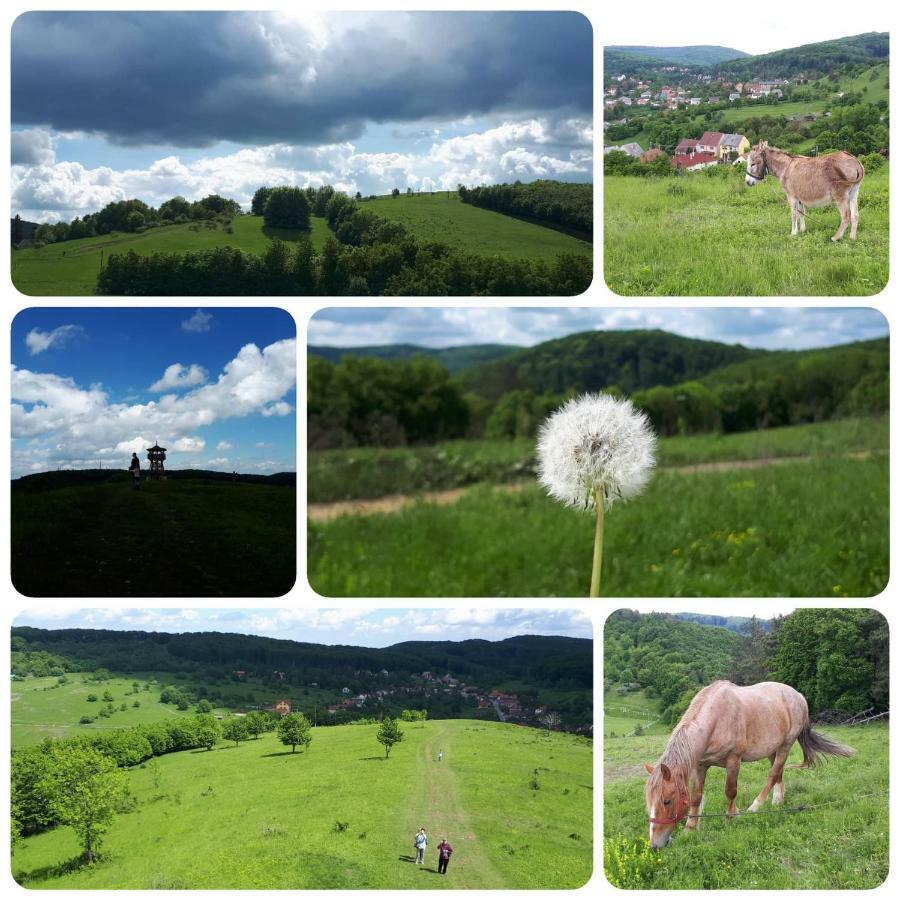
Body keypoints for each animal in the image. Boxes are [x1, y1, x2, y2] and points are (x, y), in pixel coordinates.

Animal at [644, 684, 856, 852]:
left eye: (666, 801)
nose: (655, 845)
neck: (716, 719)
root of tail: (799, 696)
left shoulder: (734, 760)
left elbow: (730, 791)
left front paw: (731, 817)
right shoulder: (700, 765)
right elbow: (696, 796)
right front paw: (690, 828)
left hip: (786, 745)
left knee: (772, 774)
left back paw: (756, 806)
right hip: (773, 749)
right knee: (779, 772)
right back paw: (778, 801)